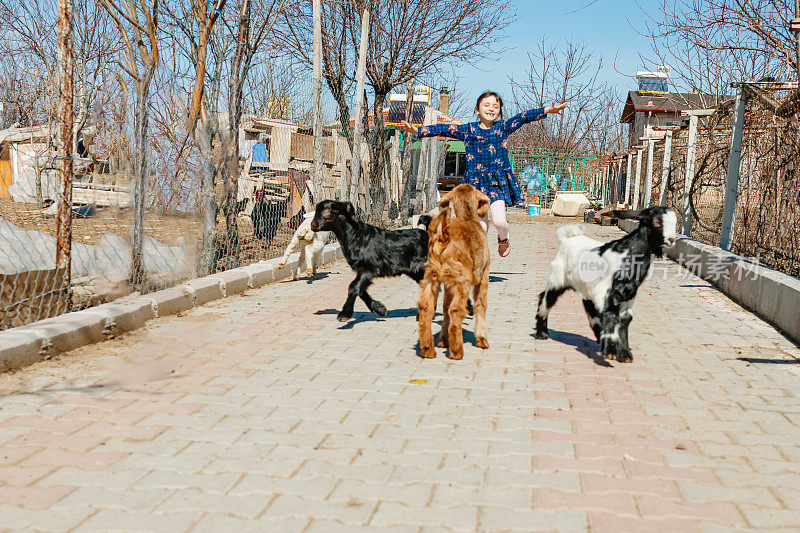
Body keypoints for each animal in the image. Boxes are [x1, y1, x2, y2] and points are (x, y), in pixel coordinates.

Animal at [416, 185, 490, 360]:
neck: (468, 218)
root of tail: (443, 236)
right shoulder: (483, 276)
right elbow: (480, 305)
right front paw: (481, 338)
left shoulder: (448, 284)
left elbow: (444, 309)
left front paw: (443, 340)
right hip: (463, 280)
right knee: (456, 309)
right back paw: (457, 351)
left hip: (431, 277)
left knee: (426, 308)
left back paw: (428, 349)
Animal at [536, 204, 680, 362]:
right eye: (656, 222)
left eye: (675, 222)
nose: (671, 239)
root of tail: (567, 238)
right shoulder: (604, 292)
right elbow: (611, 316)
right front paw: (611, 350)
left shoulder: (628, 297)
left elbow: (624, 320)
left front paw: (623, 352)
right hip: (557, 278)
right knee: (546, 298)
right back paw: (542, 333)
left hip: (586, 289)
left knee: (590, 310)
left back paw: (600, 337)